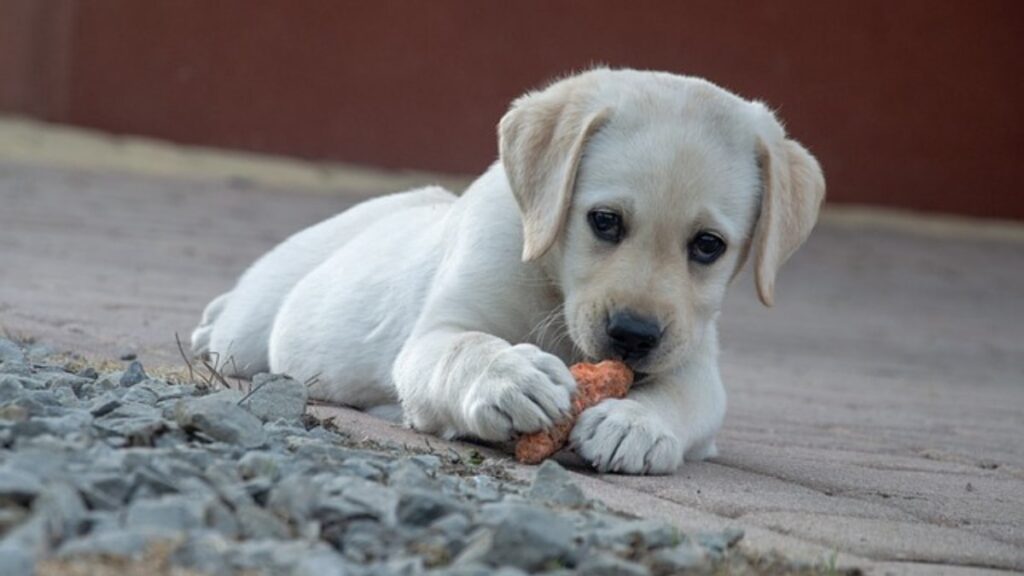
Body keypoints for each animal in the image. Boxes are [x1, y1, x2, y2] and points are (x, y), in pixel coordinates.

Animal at [192, 68, 823, 471]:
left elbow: (683, 397)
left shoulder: (694, 360)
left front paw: (636, 424)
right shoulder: (434, 335)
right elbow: (464, 347)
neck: (553, 287)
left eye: (709, 246)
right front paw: (510, 377)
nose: (633, 335)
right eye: (604, 221)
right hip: (251, 328)